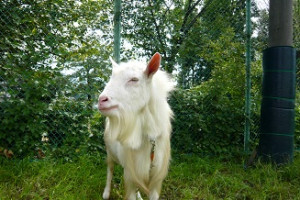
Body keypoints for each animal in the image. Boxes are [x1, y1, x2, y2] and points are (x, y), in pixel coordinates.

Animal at [98, 52, 173, 199]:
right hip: (110, 151)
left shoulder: (155, 179)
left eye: (134, 79)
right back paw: (106, 193)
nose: (101, 100)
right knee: (110, 168)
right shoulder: (130, 173)